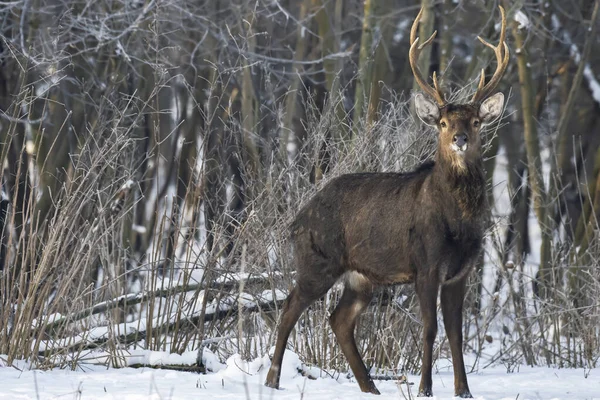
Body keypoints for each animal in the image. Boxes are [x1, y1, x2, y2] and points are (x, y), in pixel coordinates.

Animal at [264, 5, 508, 396]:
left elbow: (456, 334)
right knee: (289, 308)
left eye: (475, 121)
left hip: (361, 277)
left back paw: (370, 387)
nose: (459, 138)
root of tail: (297, 219)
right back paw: (272, 380)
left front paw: (464, 390)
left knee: (338, 319)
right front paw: (424, 389)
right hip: (317, 260)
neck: (457, 222)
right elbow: (430, 329)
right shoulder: (426, 264)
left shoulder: (461, 271)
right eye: (442, 122)